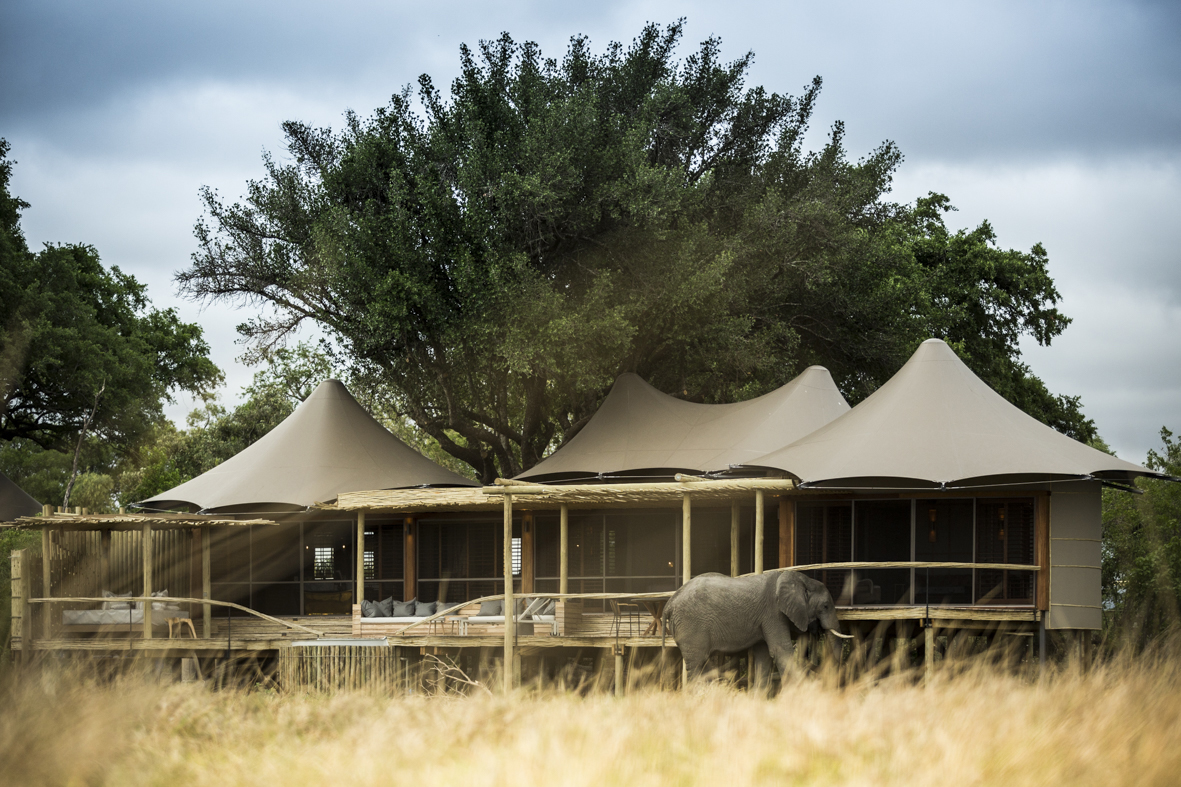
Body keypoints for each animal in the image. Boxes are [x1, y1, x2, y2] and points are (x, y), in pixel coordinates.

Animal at [662, 571, 853, 680]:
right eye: (825, 606)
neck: (802, 579)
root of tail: (669, 604)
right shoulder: (773, 613)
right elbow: (781, 650)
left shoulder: (764, 620)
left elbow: (764, 656)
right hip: (690, 626)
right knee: (697, 664)